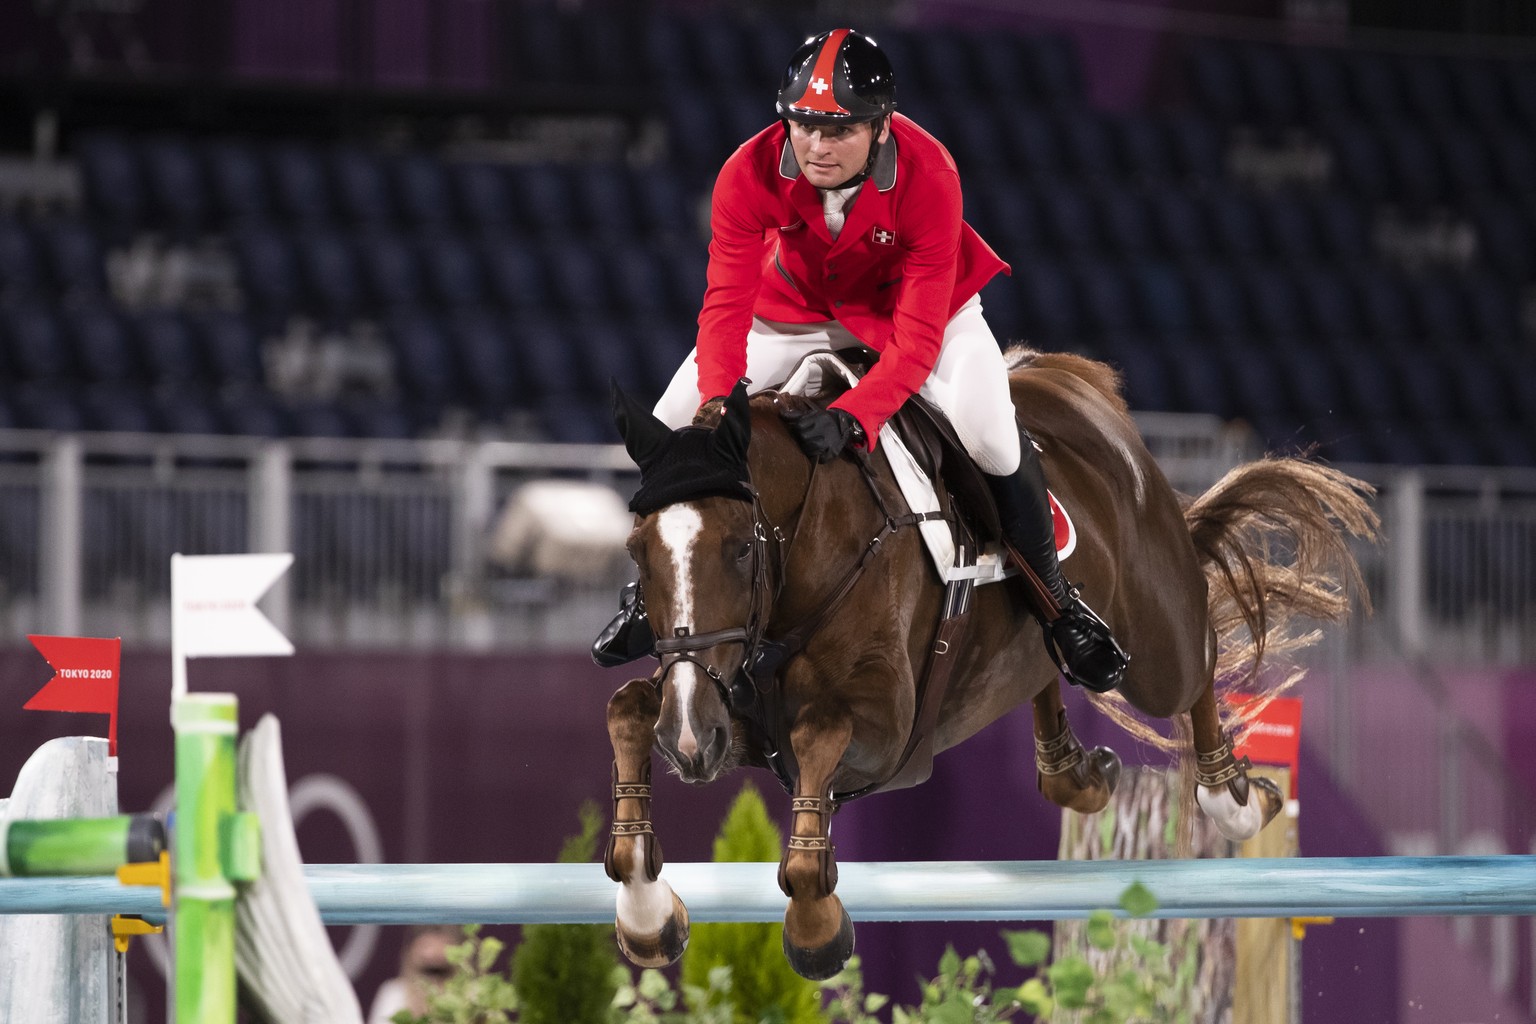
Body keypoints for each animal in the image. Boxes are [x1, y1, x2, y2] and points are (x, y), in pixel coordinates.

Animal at [599, 348, 1382, 982]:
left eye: (738, 547)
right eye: (637, 549)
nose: (689, 742)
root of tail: (1077, 383)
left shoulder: (885, 736)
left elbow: (818, 737)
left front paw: (815, 927)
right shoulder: (728, 707)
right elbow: (628, 710)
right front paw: (645, 912)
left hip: (1158, 645)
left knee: (1197, 666)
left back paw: (1237, 799)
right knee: (1044, 670)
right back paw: (1076, 772)